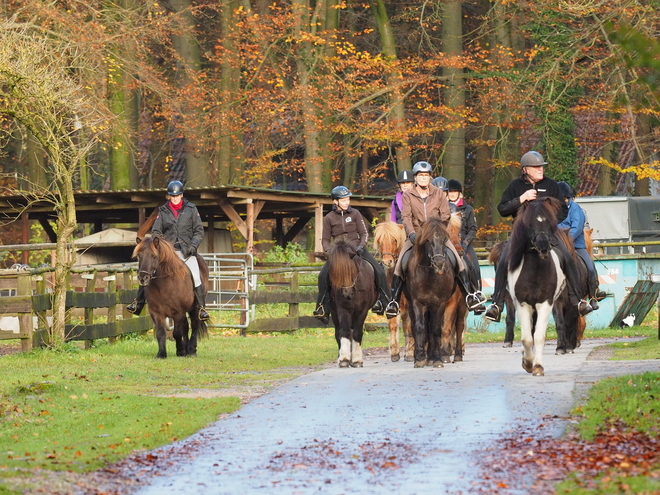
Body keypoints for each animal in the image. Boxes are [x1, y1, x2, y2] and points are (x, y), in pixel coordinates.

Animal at [402, 217, 464, 368]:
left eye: (445, 238)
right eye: (428, 240)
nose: (439, 263)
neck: (429, 274)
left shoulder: (441, 303)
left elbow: (437, 329)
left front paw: (437, 359)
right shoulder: (418, 303)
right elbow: (420, 328)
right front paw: (419, 358)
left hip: (460, 306)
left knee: (458, 326)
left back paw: (453, 355)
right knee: (420, 327)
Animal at [506, 198, 568, 376]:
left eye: (549, 222)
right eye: (529, 223)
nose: (543, 245)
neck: (535, 271)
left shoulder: (545, 303)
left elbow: (539, 336)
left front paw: (538, 366)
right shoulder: (522, 305)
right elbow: (527, 338)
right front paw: (527, 363)